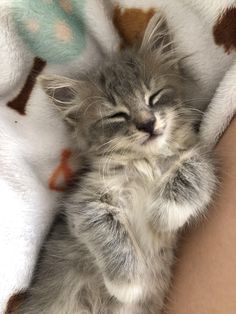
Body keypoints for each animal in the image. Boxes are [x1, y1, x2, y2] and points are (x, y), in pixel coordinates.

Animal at [16, 12, 216, 314]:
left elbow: (195, 169)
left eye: (154, 96)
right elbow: (110, 233)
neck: (145, 161)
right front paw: (128, 282)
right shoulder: (84, 203)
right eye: (117, 115)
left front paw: (161, 214)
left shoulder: (201, 154)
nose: (148, 124)